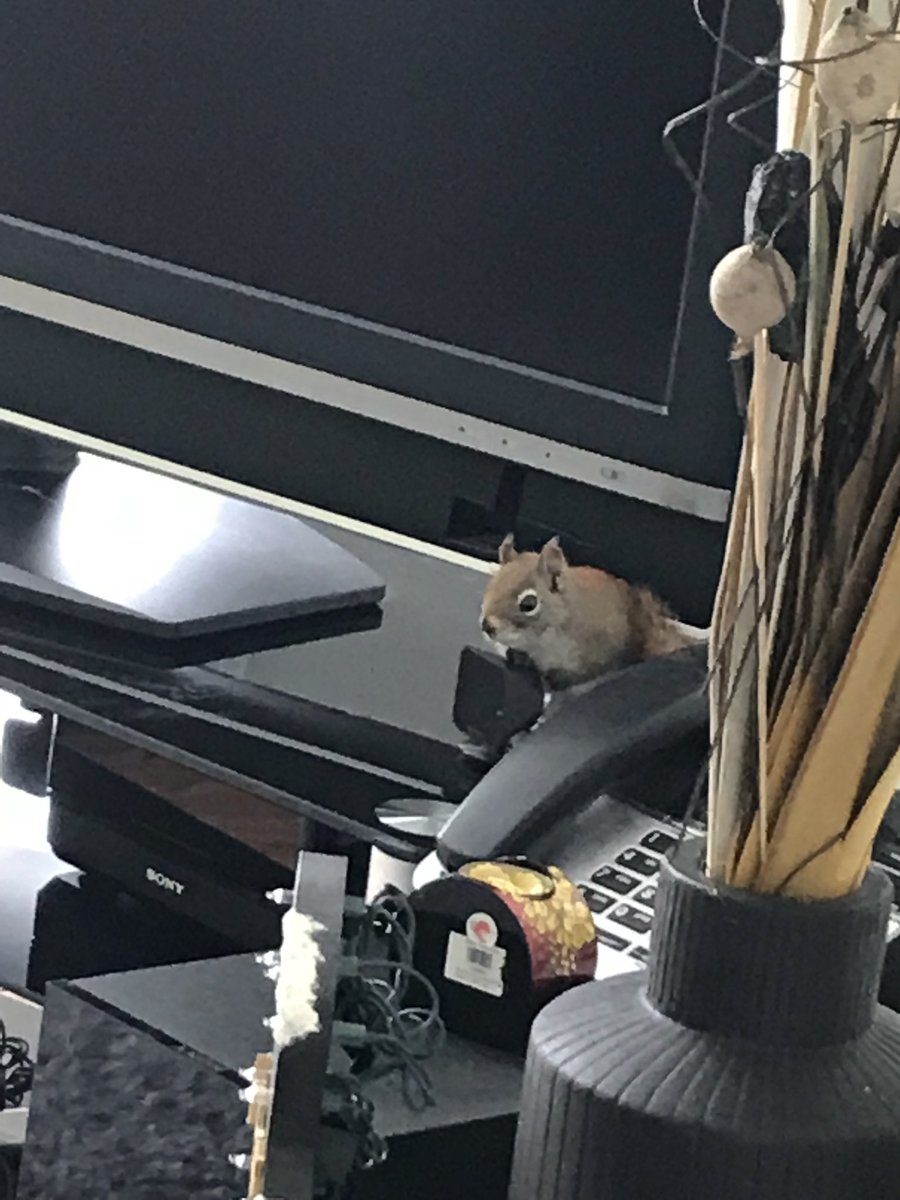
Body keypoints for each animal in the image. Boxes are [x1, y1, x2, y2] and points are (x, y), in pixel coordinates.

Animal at [479, 534, 694, 690]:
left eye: (529, 604)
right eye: (490, 587)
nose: (487, 625)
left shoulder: (601, 650)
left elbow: (590, 672)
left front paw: (557, 677)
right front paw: (519, 656)